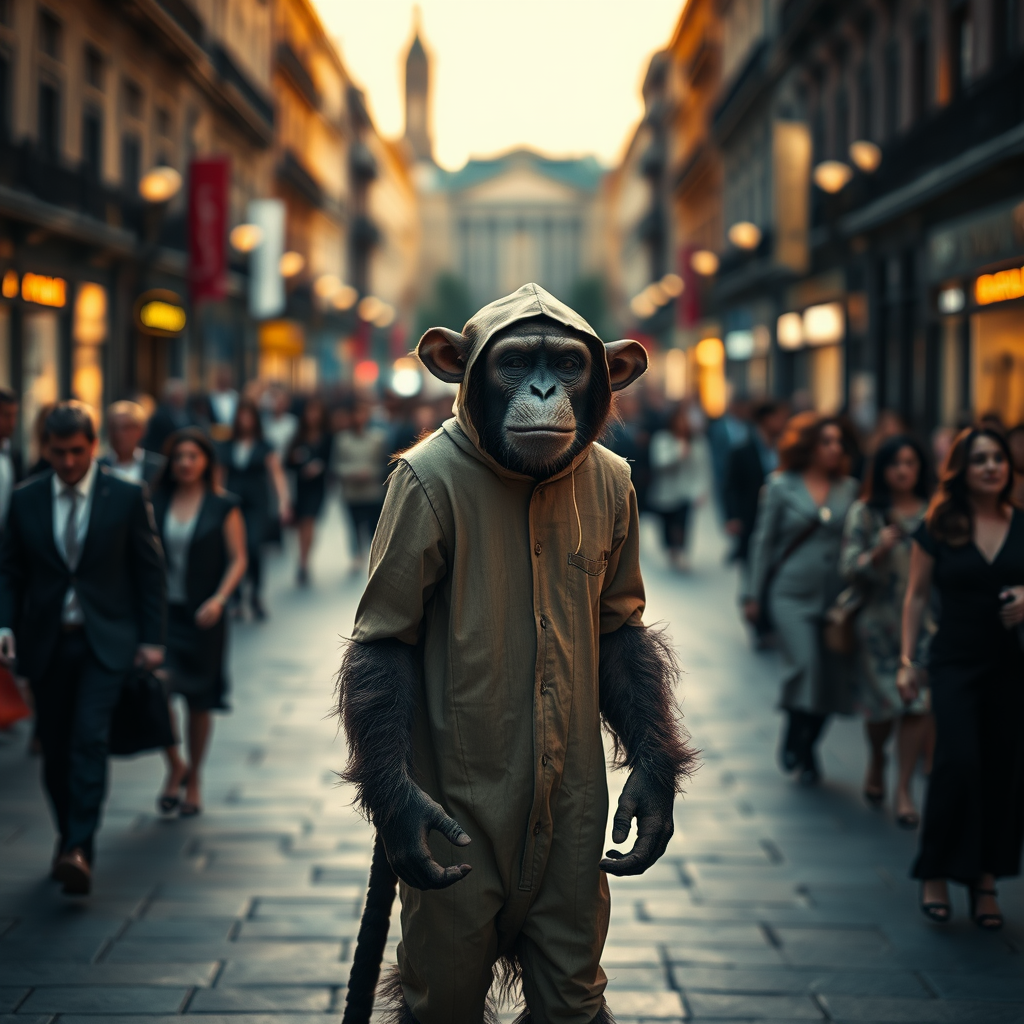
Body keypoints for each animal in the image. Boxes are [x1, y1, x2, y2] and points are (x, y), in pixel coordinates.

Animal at [337, 283, 697, 1024]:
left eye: (566, 361)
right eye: (511, 363)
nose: (542, 387)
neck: (525, 480)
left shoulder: (622, 491)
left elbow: (619, 632)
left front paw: (653, 793)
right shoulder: (411, 496)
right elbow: (388, 642)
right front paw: (402, 815)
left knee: (567, 970)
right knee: (447, 972)